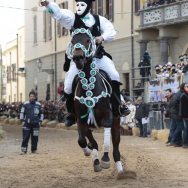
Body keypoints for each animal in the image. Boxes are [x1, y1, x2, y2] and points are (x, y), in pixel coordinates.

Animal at [67, 27, 129, 178]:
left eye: (88, 40)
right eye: (73, 41)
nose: (78, 58)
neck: (90, 86)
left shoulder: (108, 117)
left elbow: (106, 140)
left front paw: (105, 159)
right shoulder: (81, 120)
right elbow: (82, 141)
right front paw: (89, 153)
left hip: (117, 122)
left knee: (116, 148)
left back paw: (120, 171)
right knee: (92, 141)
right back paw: (95, 160)